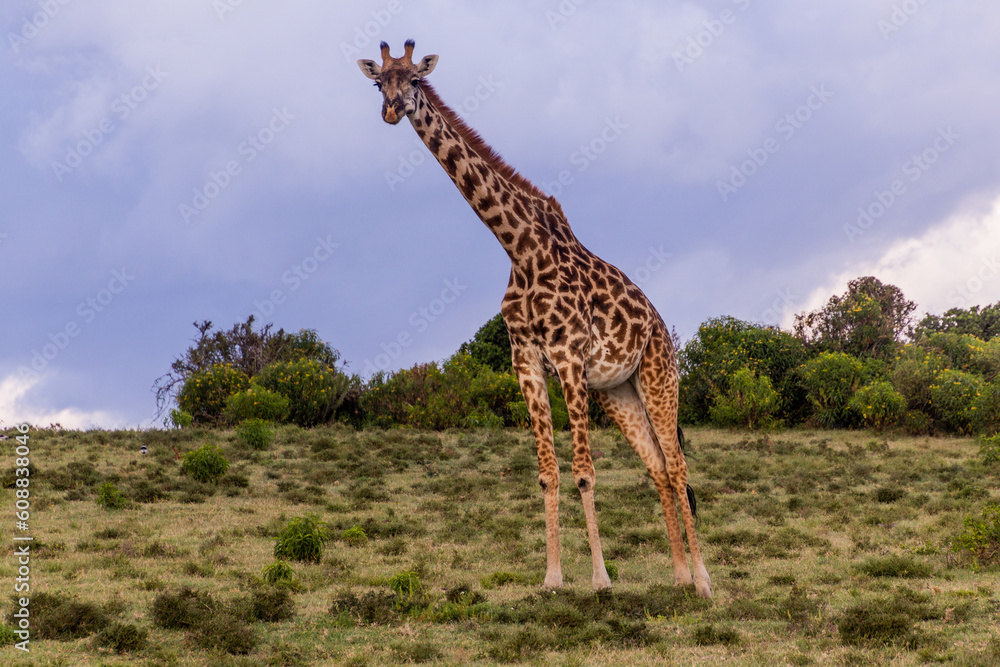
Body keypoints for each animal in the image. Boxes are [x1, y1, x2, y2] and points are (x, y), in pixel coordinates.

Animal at [358, 40, 711, 598]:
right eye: (378, 82)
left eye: (413, 79)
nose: (391, 110)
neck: (519, 248)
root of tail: (661, 327)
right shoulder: (524, 360)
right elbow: (548, 472)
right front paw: (551, 578)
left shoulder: (568, 358)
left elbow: (584, 471)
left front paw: (600, 579)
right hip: (619, 391)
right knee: (657, 467)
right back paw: (677, 575)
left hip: (659, 376)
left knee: (676, 467)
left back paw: (702, 580)